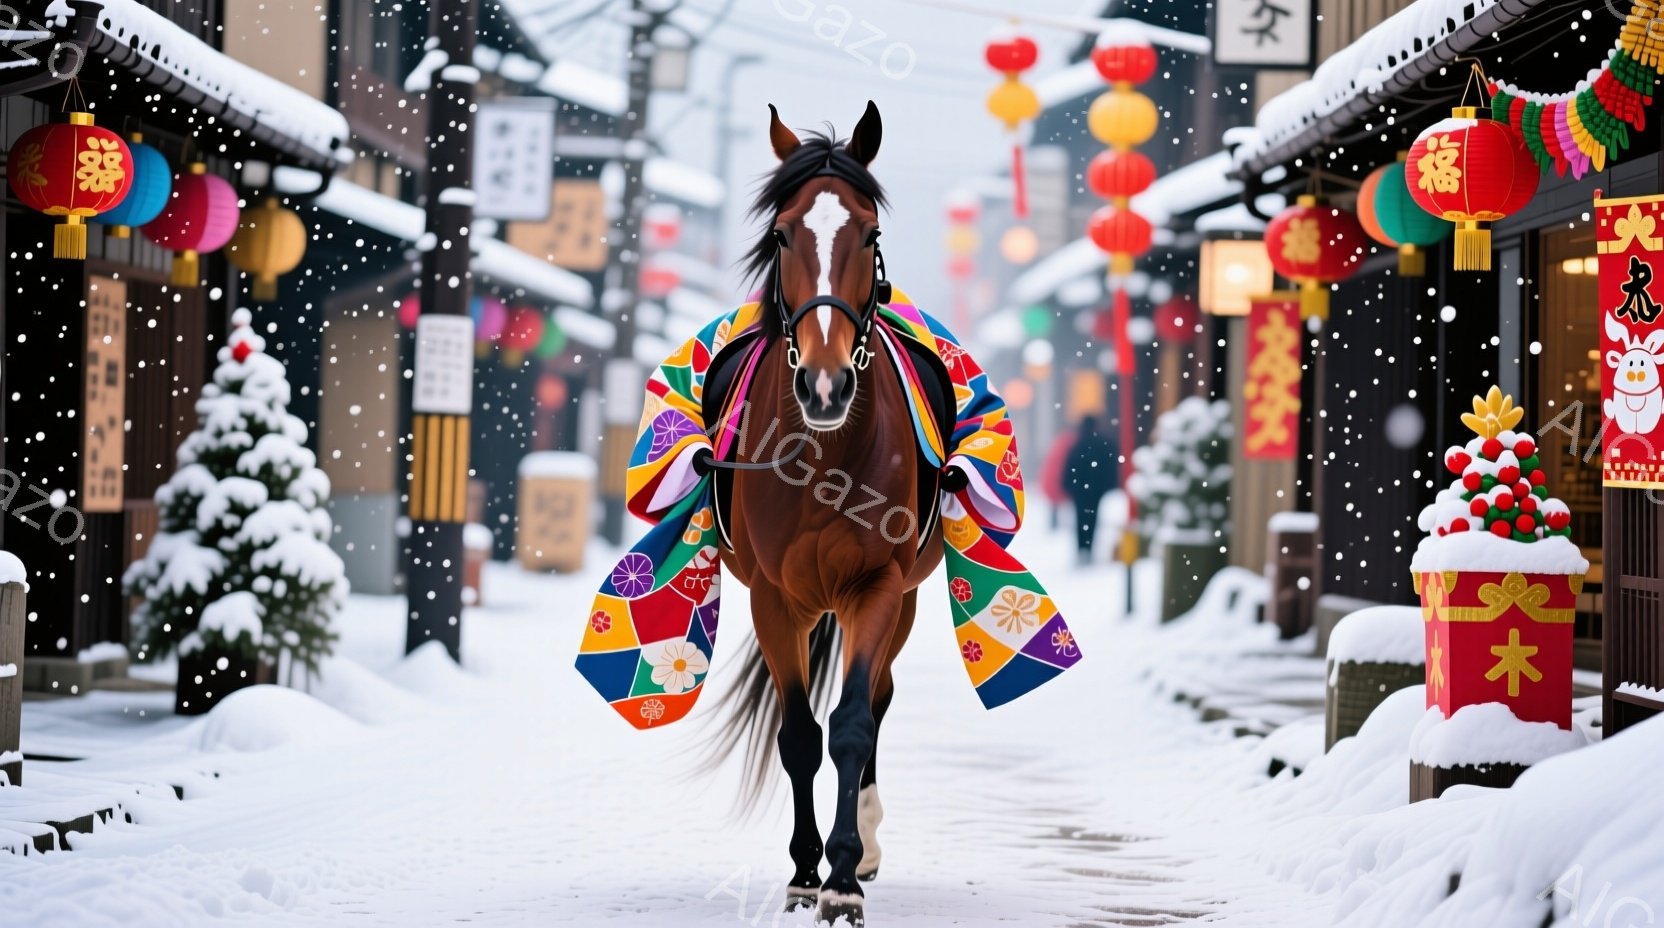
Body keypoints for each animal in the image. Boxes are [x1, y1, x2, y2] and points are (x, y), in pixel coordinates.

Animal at [706, 101, 948, 926]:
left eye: (868, 234)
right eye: (783, 234)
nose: (823, 384)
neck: (822, 456)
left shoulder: (878, 586)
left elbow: (849, 726)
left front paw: (843, 873)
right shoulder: (773, 598)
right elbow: (800, 736)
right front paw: (807, 869)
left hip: (896, 599)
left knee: (874, 699)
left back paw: (866, 844)